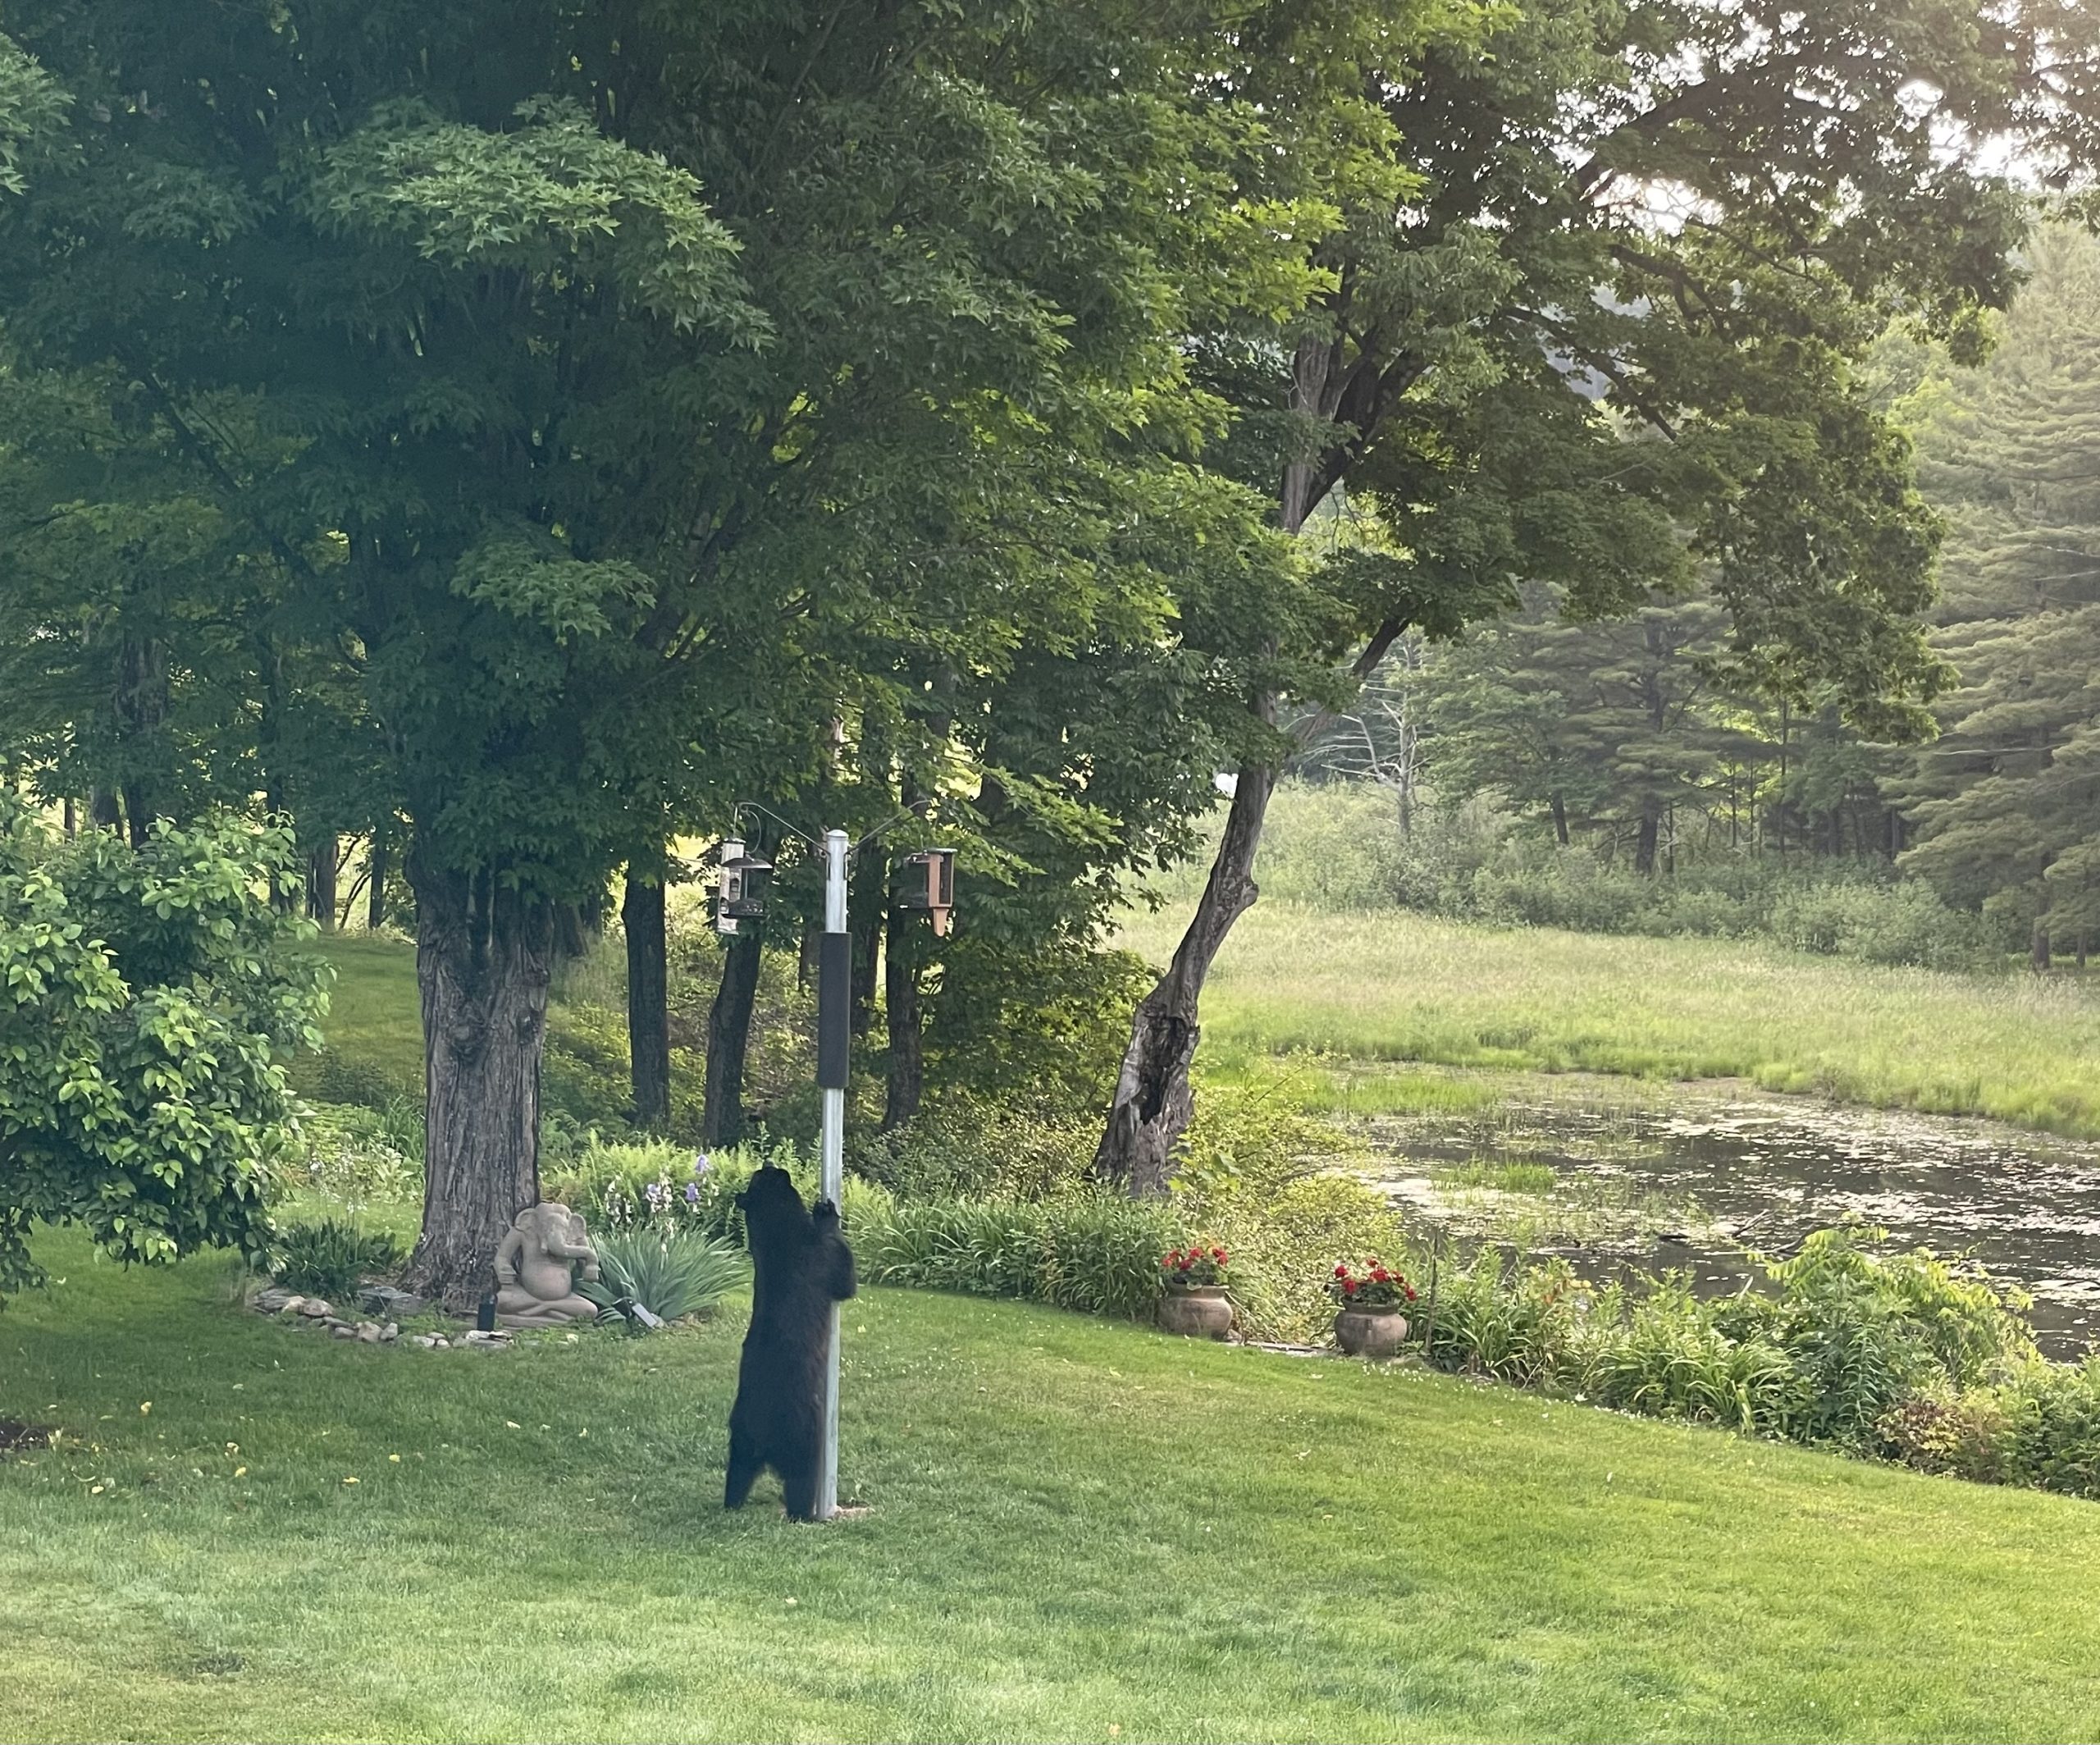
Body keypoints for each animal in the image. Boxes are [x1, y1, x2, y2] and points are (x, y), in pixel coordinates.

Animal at [724, 1163, 858, 1521]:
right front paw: (825, 1214)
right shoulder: (823, 1258)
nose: (770, 1164)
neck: (776, 1235)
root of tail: (760, 1435)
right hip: (804, 1441)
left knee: (737, 1475)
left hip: (740, 1445)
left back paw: (730, 1505)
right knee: (801, 1482)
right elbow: (845, 1278)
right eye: (763, 1176)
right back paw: (806, 1516)